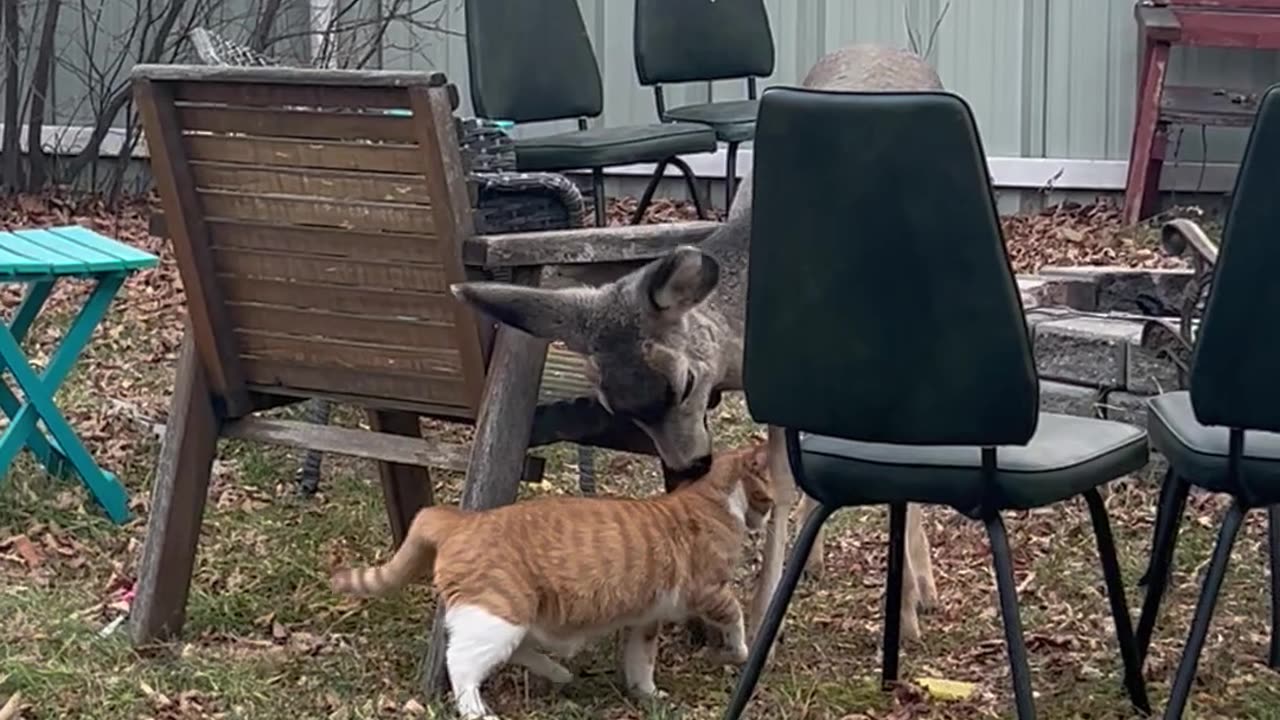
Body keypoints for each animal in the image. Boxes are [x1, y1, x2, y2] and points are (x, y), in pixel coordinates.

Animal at [327, 440, 768, 712]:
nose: (764, 521)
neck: (713, 496)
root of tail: (457, 519)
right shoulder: (709, 590)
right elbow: (736, 619)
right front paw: (739, 651)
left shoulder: (645, 619)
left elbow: (640, 661)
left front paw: (647, 693)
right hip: (499, 613)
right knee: (461, 663)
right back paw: (480, 711)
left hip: (514, 617)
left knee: (512, 651)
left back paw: (558, 672)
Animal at [450, 44, 942, 645]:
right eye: (615, 407)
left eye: (684, 383)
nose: (691, 465)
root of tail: (881, 48)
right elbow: (785, 477)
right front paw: (767, 609)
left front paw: (906, 613)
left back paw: (923, 587)